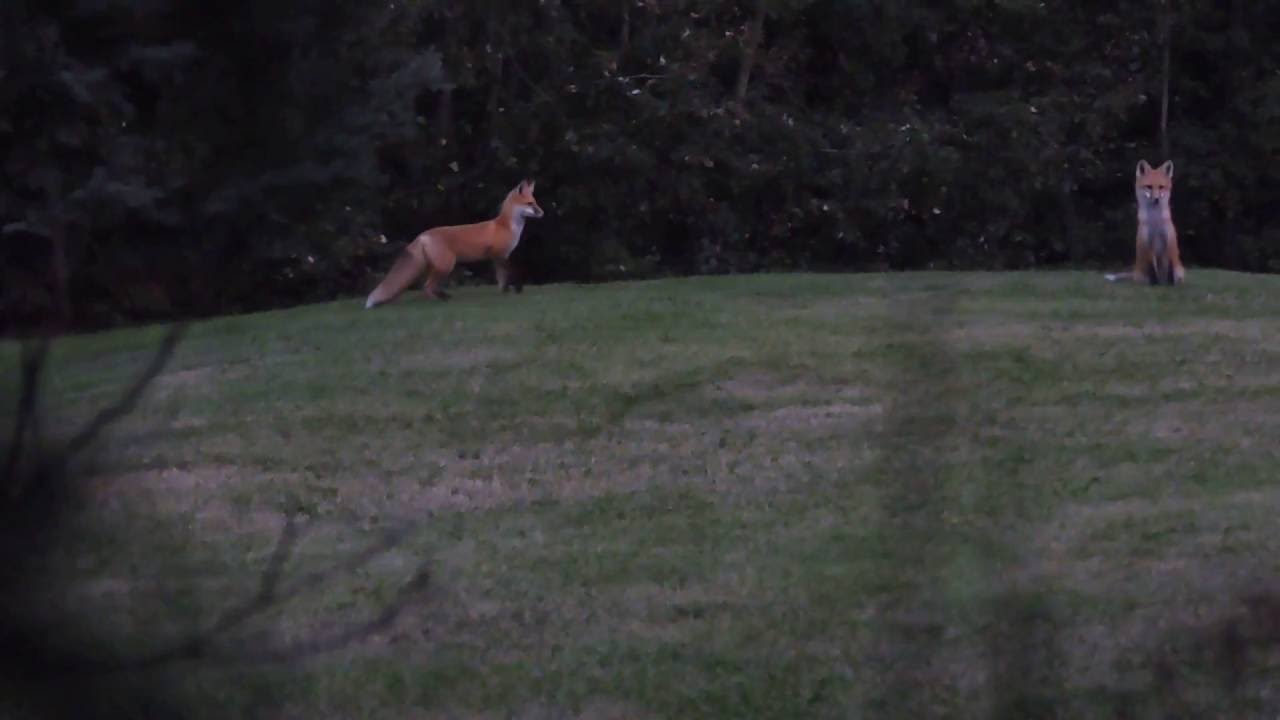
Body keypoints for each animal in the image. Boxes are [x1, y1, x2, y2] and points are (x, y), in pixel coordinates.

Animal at [364, 179, 544, 308]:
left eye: (535, 202)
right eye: (530, 204)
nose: (542, 213)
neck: (506, 226)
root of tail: (422, 235)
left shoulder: (497, 258)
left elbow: (502, 278)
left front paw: (504, 293)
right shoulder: (500, 255)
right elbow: (512, 273)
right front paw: (516, 290)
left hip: (435, 266)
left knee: (427, 286)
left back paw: (443, 298)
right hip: (446, 265)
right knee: (427, 286)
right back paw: (443, 300)